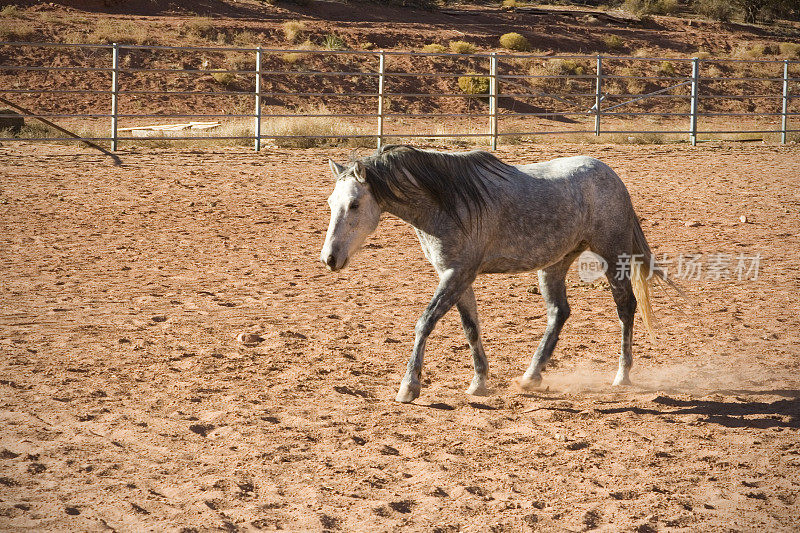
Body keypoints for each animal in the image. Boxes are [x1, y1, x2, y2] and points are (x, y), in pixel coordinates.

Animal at [322, 143, 672, 402]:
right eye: (330, 202)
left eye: (354, 204)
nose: (330, 258)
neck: (447, 204)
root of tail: (611, 176)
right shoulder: (458, 278)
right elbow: (471, 328)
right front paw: (479, 383)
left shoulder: (457, 274)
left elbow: (425, 322)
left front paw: (409, 387)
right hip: (555, 264)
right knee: (559, 313)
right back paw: (531, 377)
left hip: (612, 255)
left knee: (626, 308)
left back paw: (622, 376)